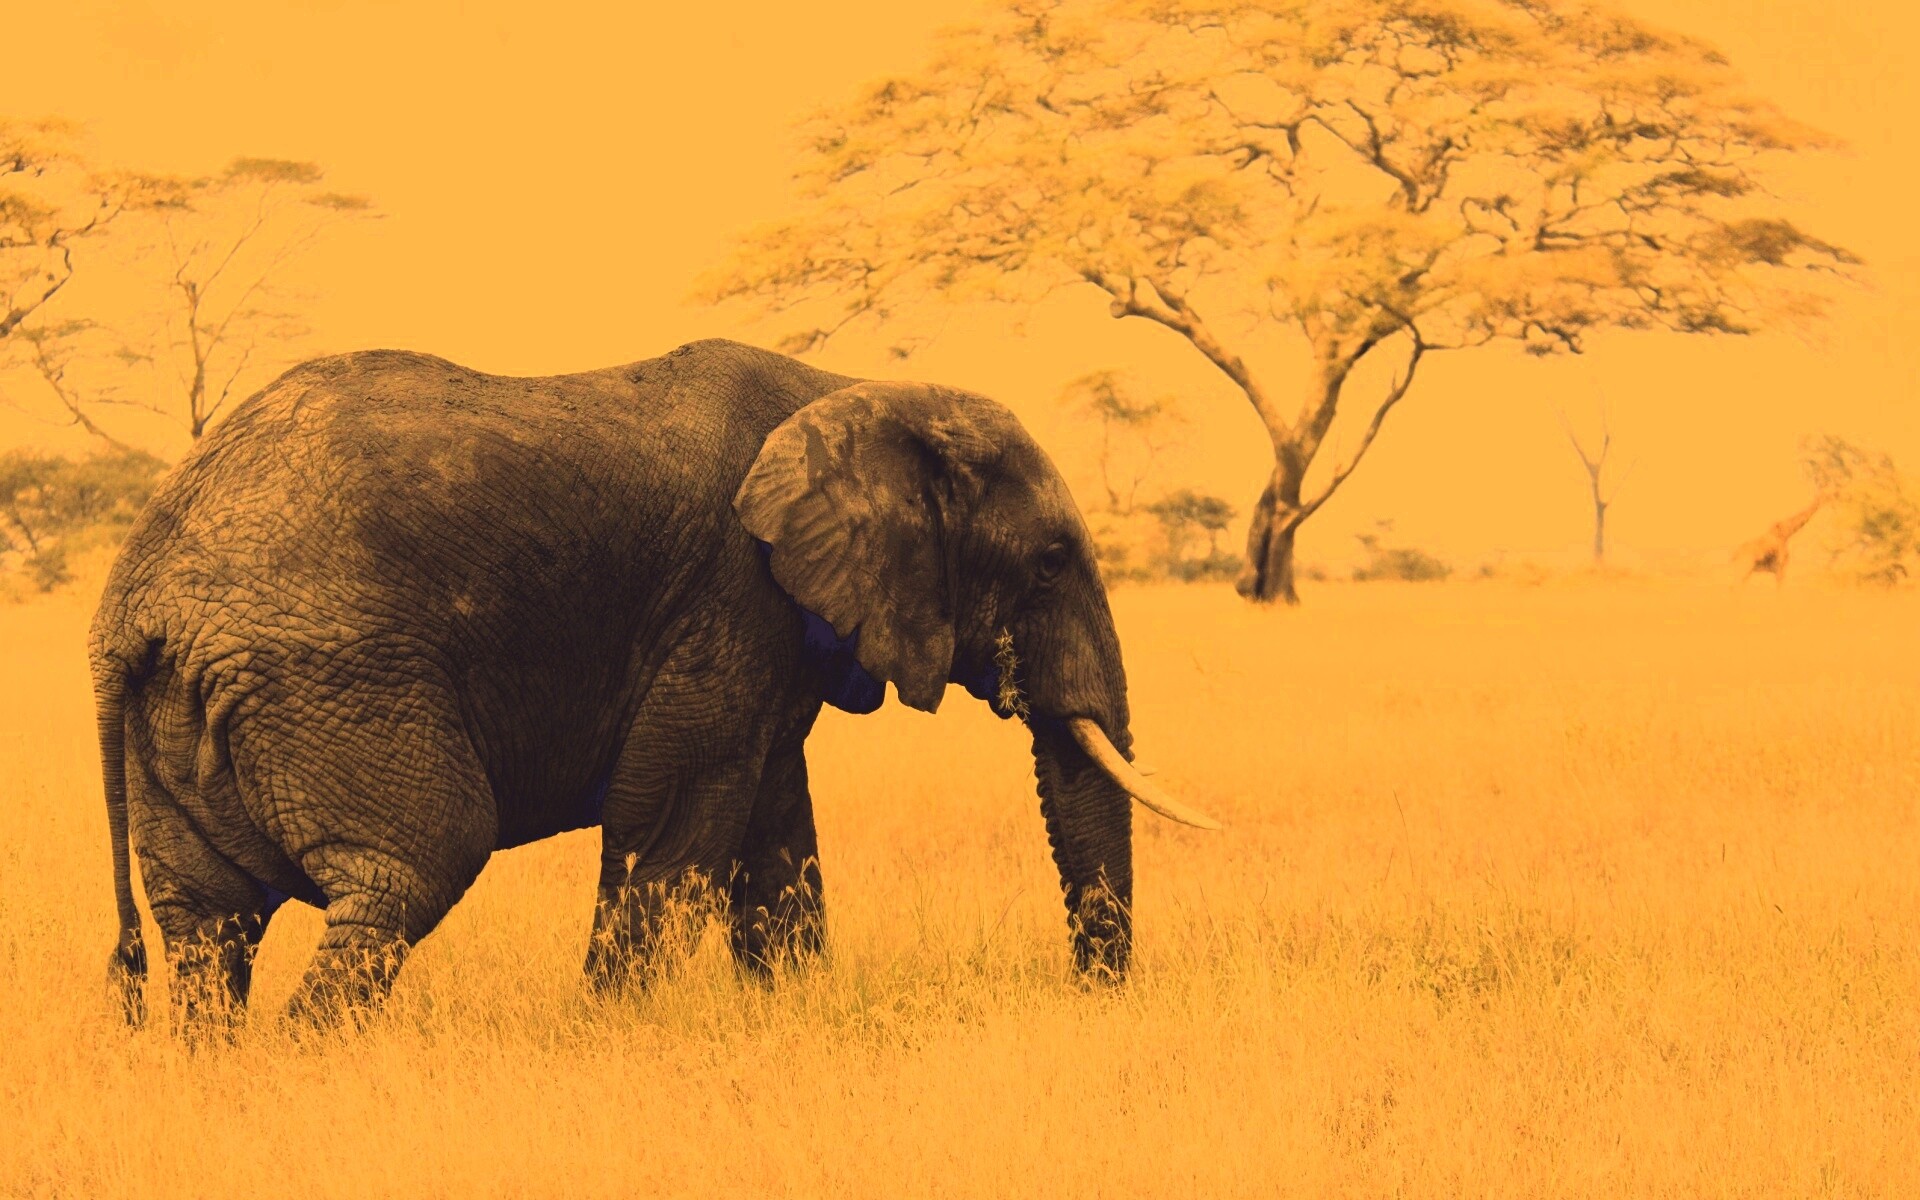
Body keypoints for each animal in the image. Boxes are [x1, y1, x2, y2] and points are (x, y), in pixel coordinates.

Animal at [90, 337, 1218, 1030]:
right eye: (1050, 562)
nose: (1091, 999)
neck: (851, 389)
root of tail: (132, 601)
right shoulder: (729, 592)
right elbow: (675, 814)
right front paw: (610, 1033)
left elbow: (773, 828)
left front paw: (788, 1016)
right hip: (332, 677)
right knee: (411, 867)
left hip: (191, 708)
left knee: (208, 924)